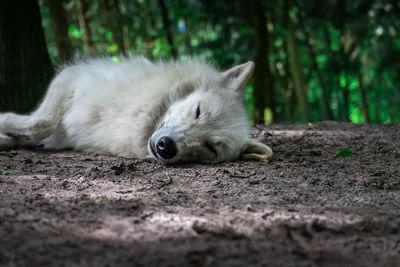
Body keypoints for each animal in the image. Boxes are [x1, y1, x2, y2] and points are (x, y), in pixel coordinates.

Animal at [0, 57, 272, 164]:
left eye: (210, 148)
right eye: (197, 111)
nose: (166, 147)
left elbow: (37, 128)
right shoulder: (73, 77)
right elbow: (41, 123)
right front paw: (5, 122)